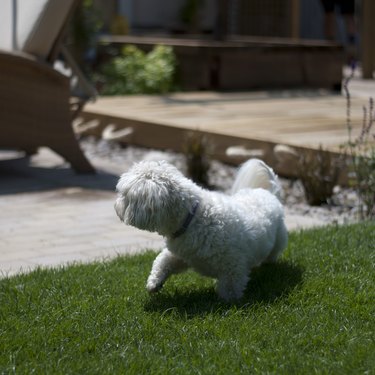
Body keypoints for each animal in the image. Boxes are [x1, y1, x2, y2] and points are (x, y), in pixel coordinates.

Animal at [116, 159, 290, 302]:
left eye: (124, 196)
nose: (116, 206)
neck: (193, 217)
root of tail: (270, 193)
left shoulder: (233, 266)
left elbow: (230, 289)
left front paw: (229, 304)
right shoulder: (182, 255)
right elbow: (162, 262)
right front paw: (154, 283)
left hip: (278, 241)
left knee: (272, 255)